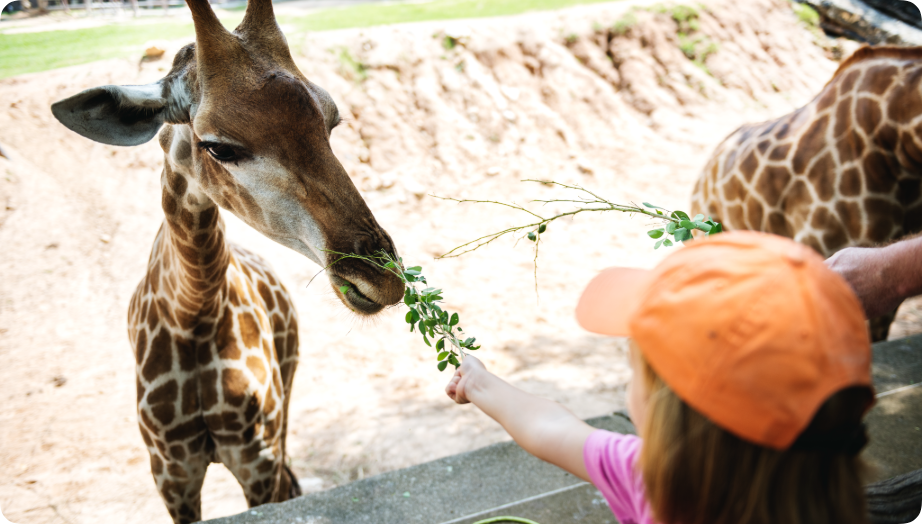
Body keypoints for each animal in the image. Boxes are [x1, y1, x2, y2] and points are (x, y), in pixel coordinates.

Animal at [49, 1, 402, 520]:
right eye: (218, 146)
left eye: (331, 121)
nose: (382, 279)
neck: (193, 311)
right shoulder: (171, 472)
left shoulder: (256, 456)